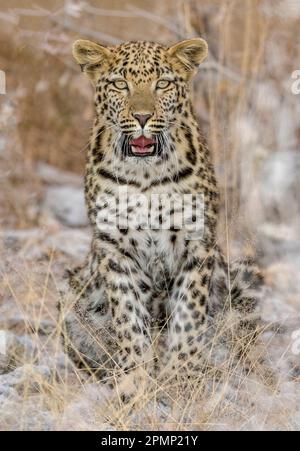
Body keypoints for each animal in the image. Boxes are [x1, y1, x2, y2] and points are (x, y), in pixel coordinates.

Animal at [59, 38, 264, 400]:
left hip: (240, 282)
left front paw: (180, 378)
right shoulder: (115, 249)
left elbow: (188, 316)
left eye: (163, 84)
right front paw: (135, 381)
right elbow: (129, 318)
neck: (146, 175)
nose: (142, 117)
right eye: (120, 84)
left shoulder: (197, 244)